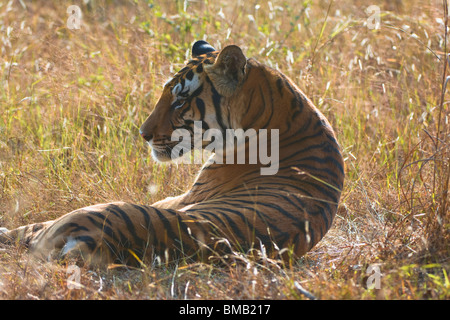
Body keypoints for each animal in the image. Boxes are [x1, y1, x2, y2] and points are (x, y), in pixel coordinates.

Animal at [0, 40, 344, 266]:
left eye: (179, 102)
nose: (143, 134)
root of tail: (102, 241)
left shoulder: (181, 198)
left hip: (83, 215)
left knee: (26, 231)